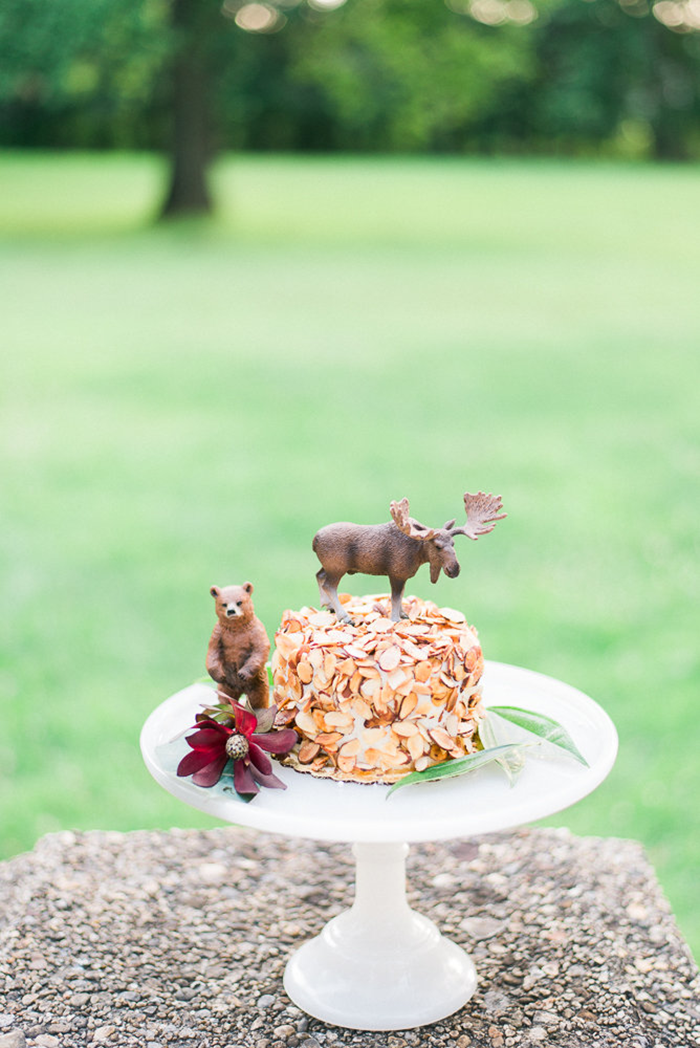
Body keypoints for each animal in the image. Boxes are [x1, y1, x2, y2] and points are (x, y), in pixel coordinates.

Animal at [206, 582, 270, 712]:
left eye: (239, 602)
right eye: (224, 604)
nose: (231, 611)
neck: (236, 628)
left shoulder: (255, 630)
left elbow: (260, 649)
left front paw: (243, 673)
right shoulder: (219, 632)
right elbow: (212, 652)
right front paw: (218, 675)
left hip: (257, 683)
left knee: (257, 698)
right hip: (227, 687)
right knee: (226, 699)